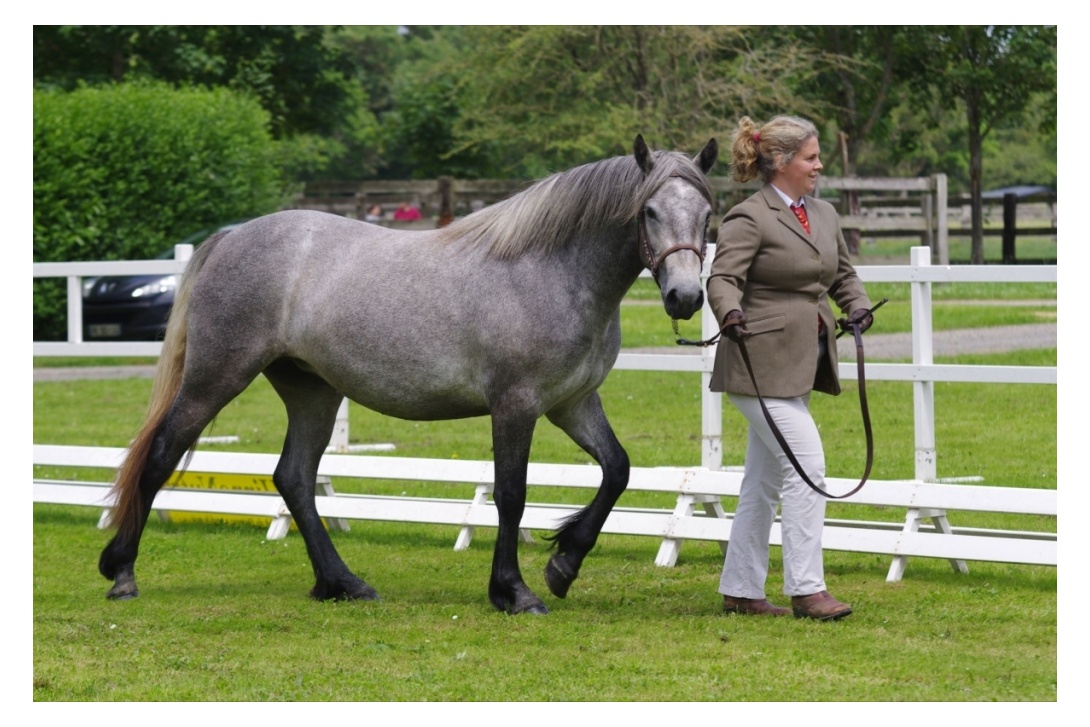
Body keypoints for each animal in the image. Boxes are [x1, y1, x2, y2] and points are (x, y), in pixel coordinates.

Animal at [98, 135, 719, 614]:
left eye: (708, 216)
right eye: (649, 212)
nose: (685, 297)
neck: (550, 271)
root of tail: (234, 236)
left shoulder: (573, 403)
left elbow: (618, 469)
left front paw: (564, 563)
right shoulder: (516, 405)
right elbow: (511, 494)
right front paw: (513, 592)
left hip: (312, 392)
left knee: (293, 478)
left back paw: (341, 583)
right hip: (217, 377)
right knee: (161, 453)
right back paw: (122, 572)